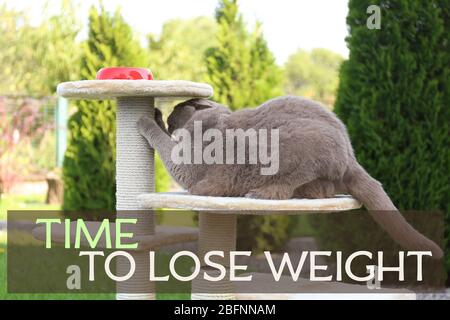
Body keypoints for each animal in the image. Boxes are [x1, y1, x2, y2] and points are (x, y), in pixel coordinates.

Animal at [137, 95, 442, 258]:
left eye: (179, 111)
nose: (171, 115)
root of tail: (350, 157)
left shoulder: (186, 165)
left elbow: (163, 143)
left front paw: (145, 119)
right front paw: (154, 114)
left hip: (289, 146)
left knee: (288, 184)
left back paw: (260, 193)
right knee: (324, 189)